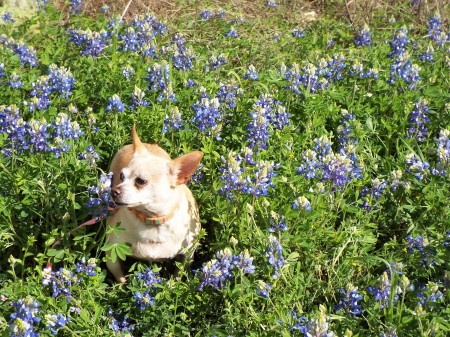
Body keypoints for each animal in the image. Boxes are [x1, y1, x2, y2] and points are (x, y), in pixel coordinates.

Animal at [106, 124, 201, 282]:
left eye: (141, 181)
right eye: (122, 176)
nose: (114, 191)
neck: (152, 221)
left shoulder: (188, 254)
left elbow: (177, 275)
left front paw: (172, 285)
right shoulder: (112, 251)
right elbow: (120, 276)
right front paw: (121, 287)